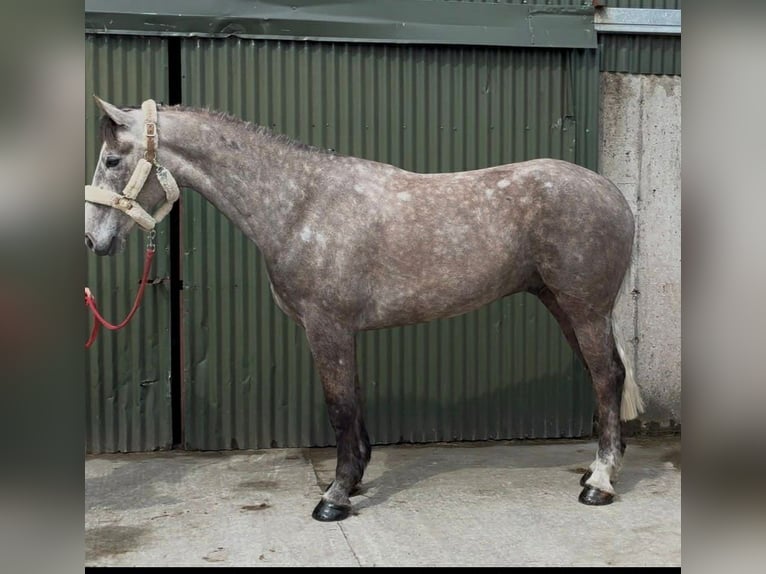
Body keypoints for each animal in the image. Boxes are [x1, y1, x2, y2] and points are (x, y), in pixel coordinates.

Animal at [84, 97, 643, 522]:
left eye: (112, 160)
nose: (94, 241)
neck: (300, 204)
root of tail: (613, 194)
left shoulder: (326, 327)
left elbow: (340, 408)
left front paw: (334, 497)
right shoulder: (342, 332)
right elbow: (353, 403)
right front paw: (352, 481)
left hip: (585, 309)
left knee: (607, 377)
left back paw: (599, 482)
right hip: (563, 305)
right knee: (604, 377)